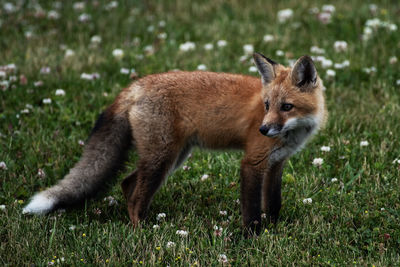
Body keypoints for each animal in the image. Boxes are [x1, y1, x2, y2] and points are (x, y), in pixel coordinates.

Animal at [23, 53, 326, 233]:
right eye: (266, 106)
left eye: (286, 107)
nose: (263, 129)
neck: (293, 133)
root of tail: (135, 85)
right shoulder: (253, 162)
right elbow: (251, 209)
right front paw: (251, 237)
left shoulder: (276, 164)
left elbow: (273, 203)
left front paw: (274, 229)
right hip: (163, 158)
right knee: (135, 195)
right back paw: (142, 231)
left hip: (172, 156)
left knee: (127, 184)